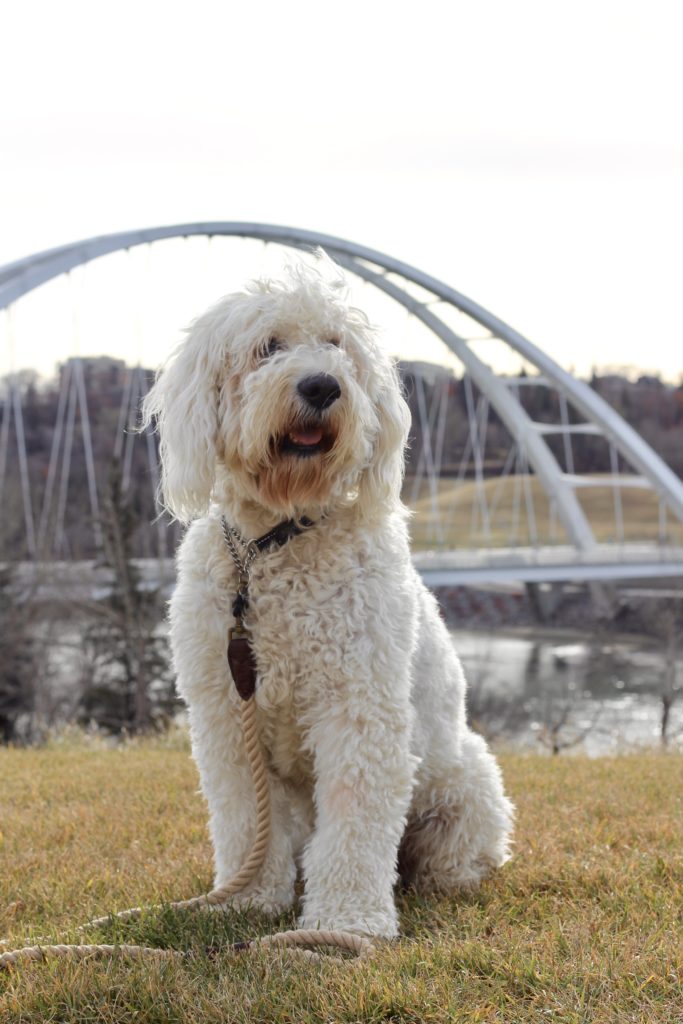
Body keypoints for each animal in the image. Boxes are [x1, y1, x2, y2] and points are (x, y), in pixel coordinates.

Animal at [147, 256, 516, 937]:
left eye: (337, 344)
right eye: (268, 346)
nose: (321, 386)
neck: (276, 542)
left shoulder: (358, 705)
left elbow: (354, 825)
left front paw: (345, 924)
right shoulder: (226, 715)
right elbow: (246, 822)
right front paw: (247, 899)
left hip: (466, 780)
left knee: (452, 850)